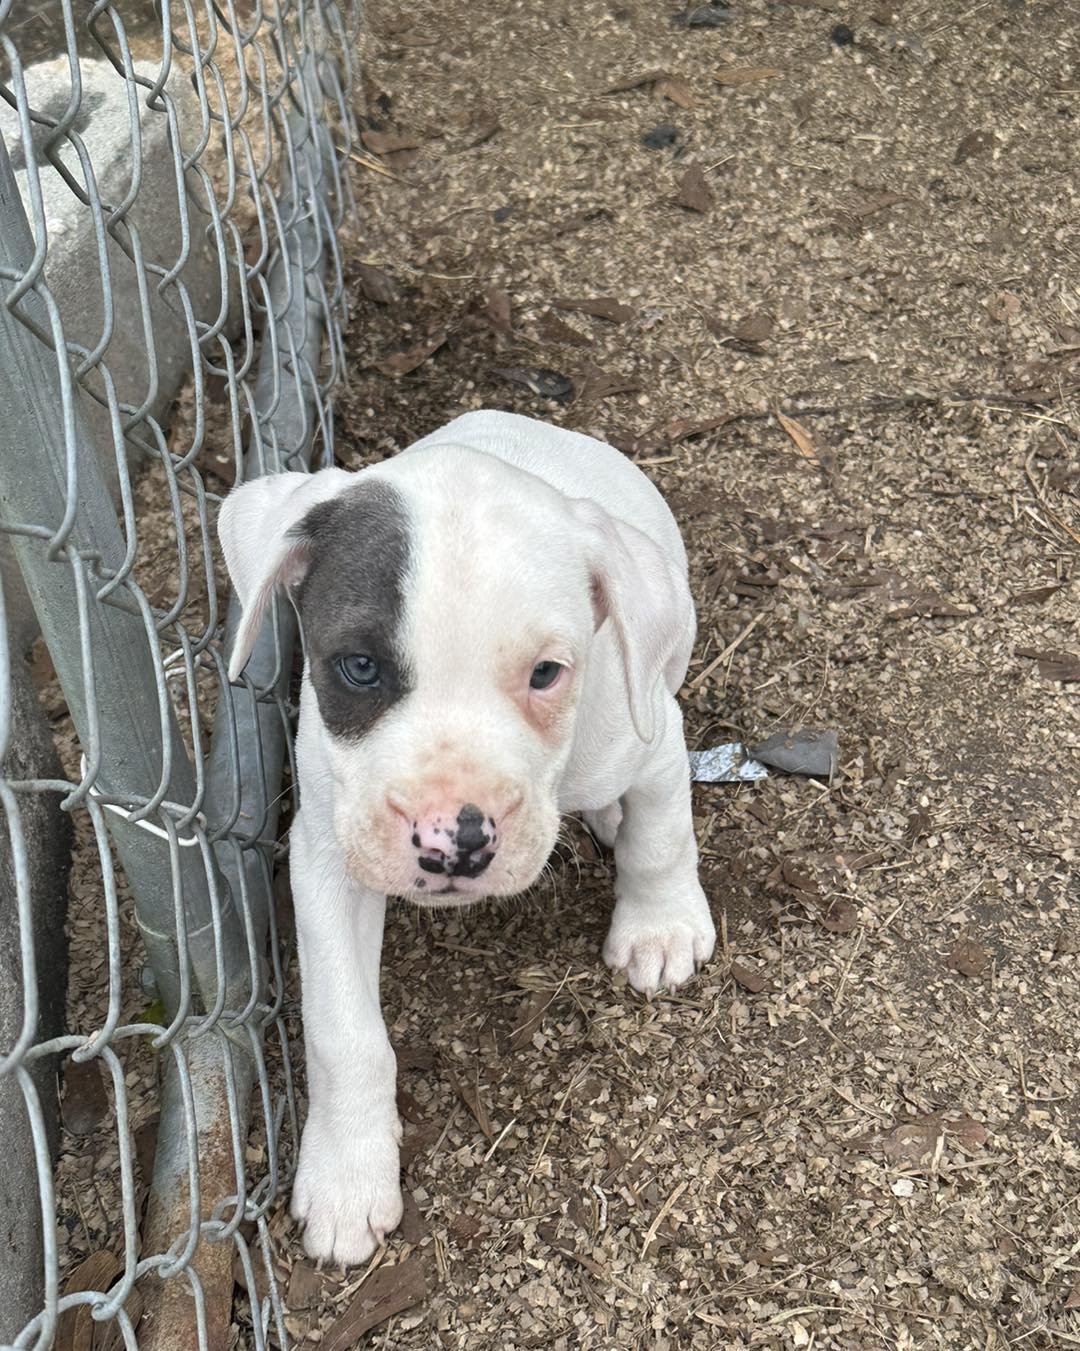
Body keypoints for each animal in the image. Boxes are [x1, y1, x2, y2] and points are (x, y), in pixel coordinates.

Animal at [217, 410, 719, 1264]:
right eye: (357, 667)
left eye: (547, 673)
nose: (455, 842)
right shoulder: (325, 856)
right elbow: (343, 1032)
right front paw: (348, 1175)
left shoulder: (651, 735)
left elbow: (664, 833)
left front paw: (660, 927)